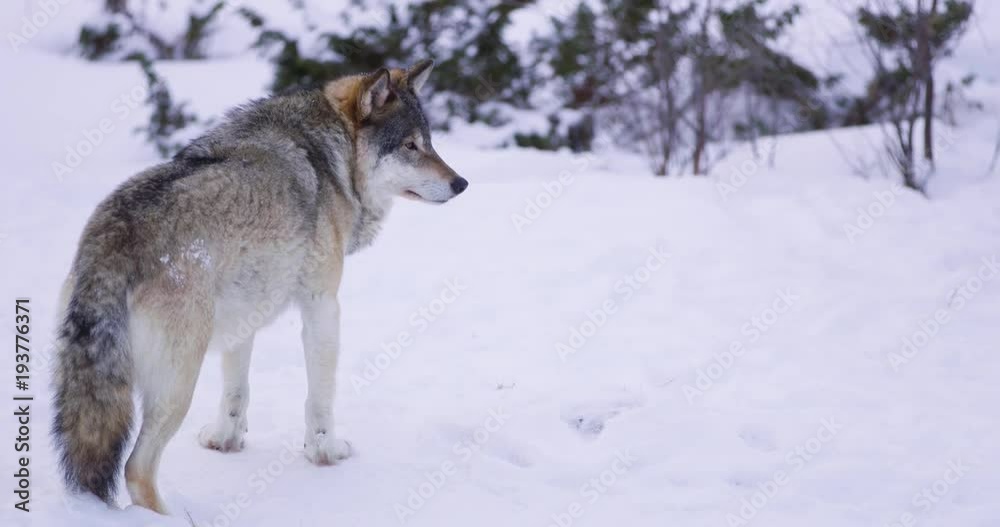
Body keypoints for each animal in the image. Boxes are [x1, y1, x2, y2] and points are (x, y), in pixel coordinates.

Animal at [51, 59, 467, 514]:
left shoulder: (243, 312)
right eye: (410, 146)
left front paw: (225, 442)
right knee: (136, 470)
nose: (461, 183)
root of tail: (113, 238)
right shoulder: (323, 305)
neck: (331, 162)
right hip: (179, 383)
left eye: (430, 143)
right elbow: (320, 398)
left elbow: (236, 391)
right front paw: (326, 453)